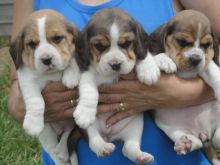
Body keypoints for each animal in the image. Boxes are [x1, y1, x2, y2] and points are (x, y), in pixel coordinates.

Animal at [9, 9, 80, 164]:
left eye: (57, 38)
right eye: (32, 44)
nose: (46, 59)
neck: (51, 74)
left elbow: (73, 58)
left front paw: (71, 76)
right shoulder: (26, 79)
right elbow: (36, 100)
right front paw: (33, 124)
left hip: (73, 122)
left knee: (67, 133)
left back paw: (62, 149)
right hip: (46, 133)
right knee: (54, 150)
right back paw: (60, 154)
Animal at [69, 8, 161, 165]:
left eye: (127, 43)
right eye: (99, 46)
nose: (115, 64)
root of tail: (109, 135)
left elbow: (141, 55)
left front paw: (149, 68)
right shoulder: (86, 72)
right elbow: (89, 91)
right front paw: (86, 112)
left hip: (135, 124)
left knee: (128, 147)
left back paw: (140, 156)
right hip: (90, 129)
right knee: (94, 141)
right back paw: (103, 147)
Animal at [150, 10, 219, 165]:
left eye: (206, 45)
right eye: (182, 42)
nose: (195, 59)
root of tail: (204, 131)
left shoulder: (205, 63)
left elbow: (213, 70)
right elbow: (153, 56)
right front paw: (165, 60)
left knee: (217, 137)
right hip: (171, 128)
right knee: (196, 141)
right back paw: (186, 144)